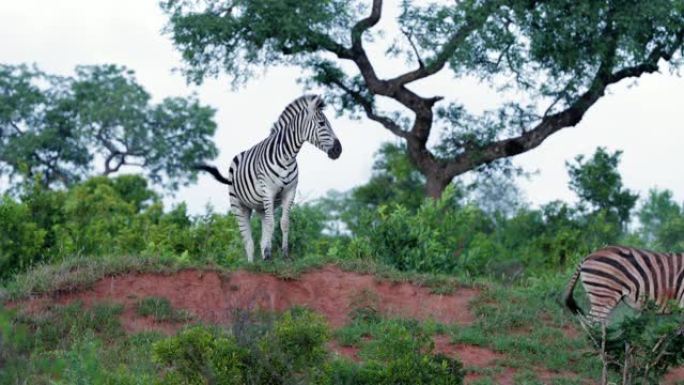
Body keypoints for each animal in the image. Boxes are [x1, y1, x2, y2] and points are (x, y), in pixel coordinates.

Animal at [195, 94, 340, 260]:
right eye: (322, 123)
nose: (339, 150)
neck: (287, 156)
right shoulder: (269, 192)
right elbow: (272, 224)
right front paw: (270, 254)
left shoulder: (289, 193)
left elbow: (284, 223)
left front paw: (284, 254)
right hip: (239, 205)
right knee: (248, 242)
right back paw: (252, 262)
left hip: (261, 207)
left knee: (261, 236)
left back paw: (264, 255)